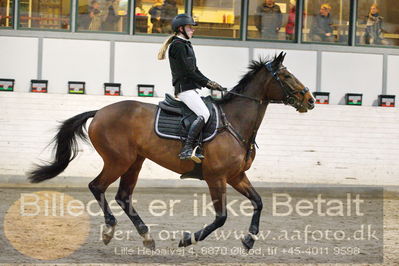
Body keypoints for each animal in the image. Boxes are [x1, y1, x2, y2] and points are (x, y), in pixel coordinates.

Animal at [28, 52, 316, 251]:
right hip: (118, 161)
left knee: (123, 196)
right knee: (97, 187)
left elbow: (259, 202)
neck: (235, 122)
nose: (311, 100)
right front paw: (188, 239)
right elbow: (221, 217)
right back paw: (110, 230)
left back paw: (146, 236)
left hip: (135, 162)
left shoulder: (236, 176)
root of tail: (99, 111)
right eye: (287, 76)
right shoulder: (216, 177)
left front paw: (249, 239)